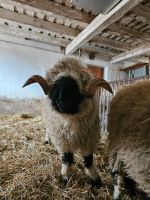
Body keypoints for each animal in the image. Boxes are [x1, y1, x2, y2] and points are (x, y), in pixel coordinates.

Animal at [22, 56, 112, 186]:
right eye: (55, 86)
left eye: (76, 86)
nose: (64, 101)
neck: (70, 119)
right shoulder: (62, 140)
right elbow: (67, 158)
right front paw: (65, 176)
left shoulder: (90, 138)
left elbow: (89, 159)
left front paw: (96, 179)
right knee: (47, 130)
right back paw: (47, 140)